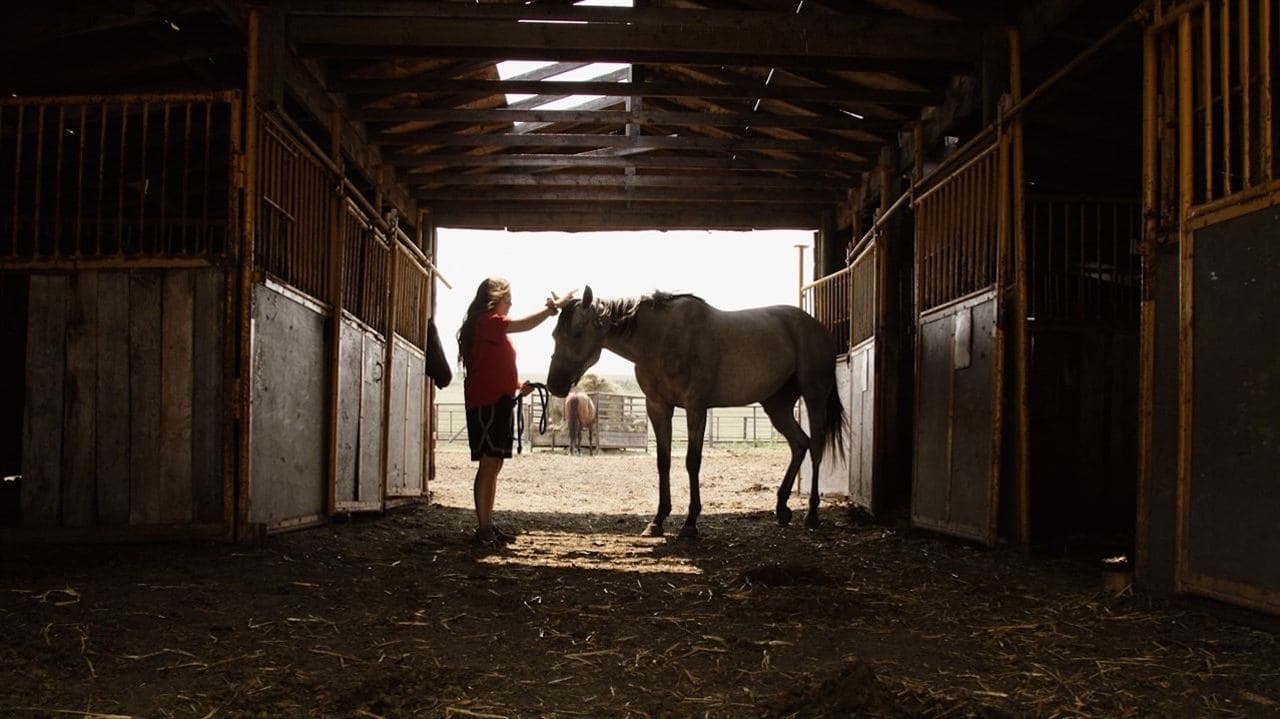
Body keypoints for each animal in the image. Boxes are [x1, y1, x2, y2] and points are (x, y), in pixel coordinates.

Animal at [545, 282, 844, 534]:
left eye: (577, 332)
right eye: (555, 334)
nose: (554, 385)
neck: (661, 339)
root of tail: (817, 328)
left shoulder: (695, 407)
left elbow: (692, 461)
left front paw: (690, 523)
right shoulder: (658, 407)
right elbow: (663, 461)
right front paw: (657, 521)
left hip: (814, 397)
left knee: (816, 447)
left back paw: (812, 514)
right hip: (777, 406)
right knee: (799, 444)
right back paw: (782, 508)